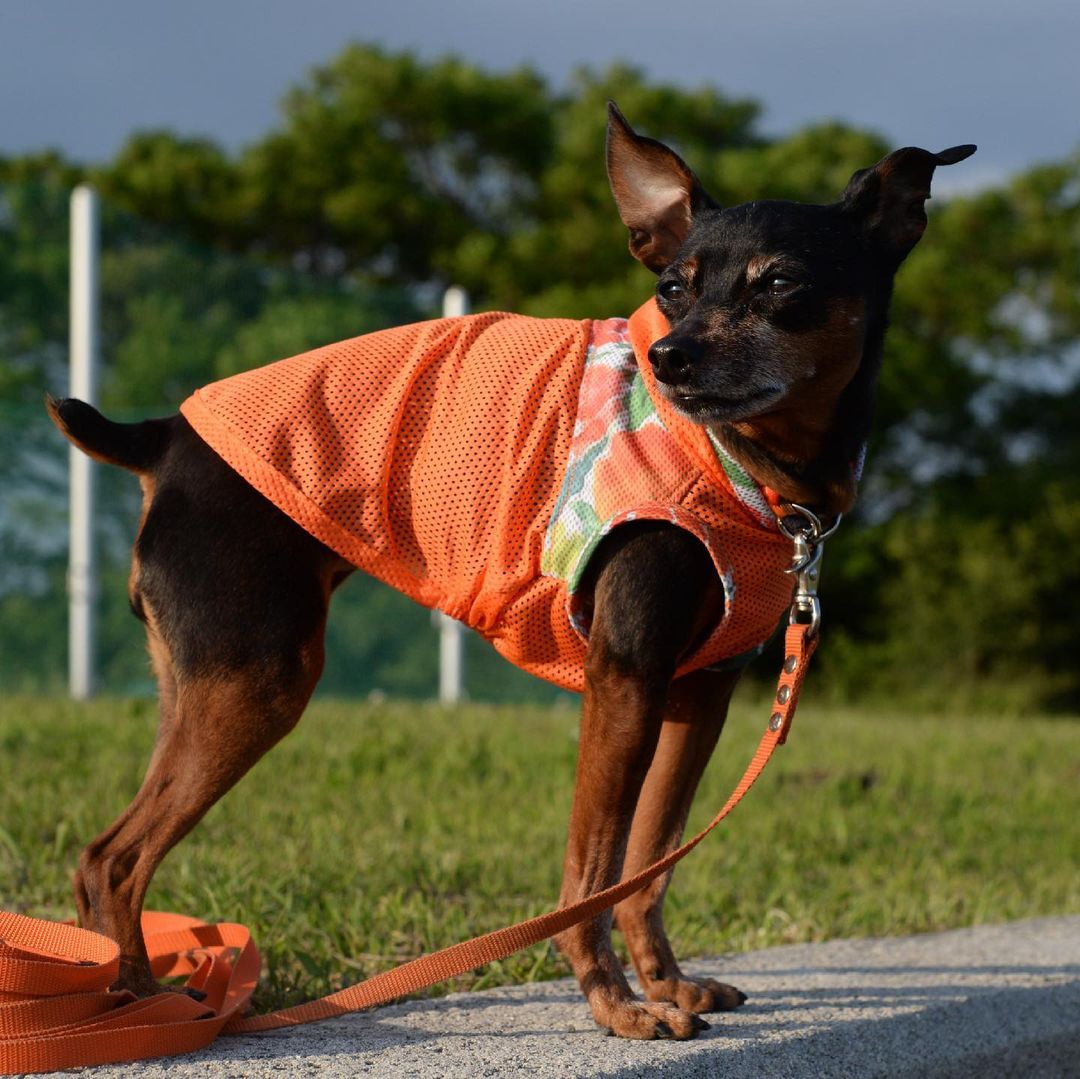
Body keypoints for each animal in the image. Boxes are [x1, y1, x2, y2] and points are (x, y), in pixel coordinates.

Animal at [46, 107, 976, 1036]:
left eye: (779, 281)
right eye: (671, 290)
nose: (670, 357)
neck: (745, 468)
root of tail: (165, 438)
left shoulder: (698, 692)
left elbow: (650, 865)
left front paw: (667, 984)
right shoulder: (624, 675)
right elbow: (592, 873)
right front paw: (614, 1003)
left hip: (203, 683)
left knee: (102, 857)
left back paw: (133, 999)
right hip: (257, 677)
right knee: (115, 857)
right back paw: (146, 1006)